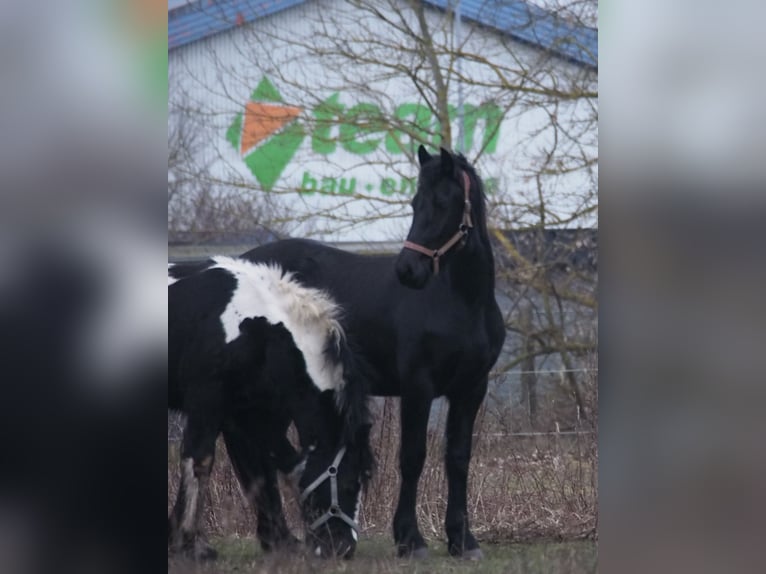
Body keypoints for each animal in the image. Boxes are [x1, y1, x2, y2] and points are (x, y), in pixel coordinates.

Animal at [168, 258, 376, 564]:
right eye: (349, 484)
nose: (342, 548)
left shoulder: (250, 414)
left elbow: (269, 467)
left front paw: (283, 542)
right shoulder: (207, 401)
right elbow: (200, 460)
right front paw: (189, 546)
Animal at [240, 146, 504, 560]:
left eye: (443, 203)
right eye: (415, 203)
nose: (408, 270)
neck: (462, 302)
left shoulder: (471, 388)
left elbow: (458, 458)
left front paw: (463, 541)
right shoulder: (417, 387)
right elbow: (412, 457)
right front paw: (410, 540)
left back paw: (279, 540)